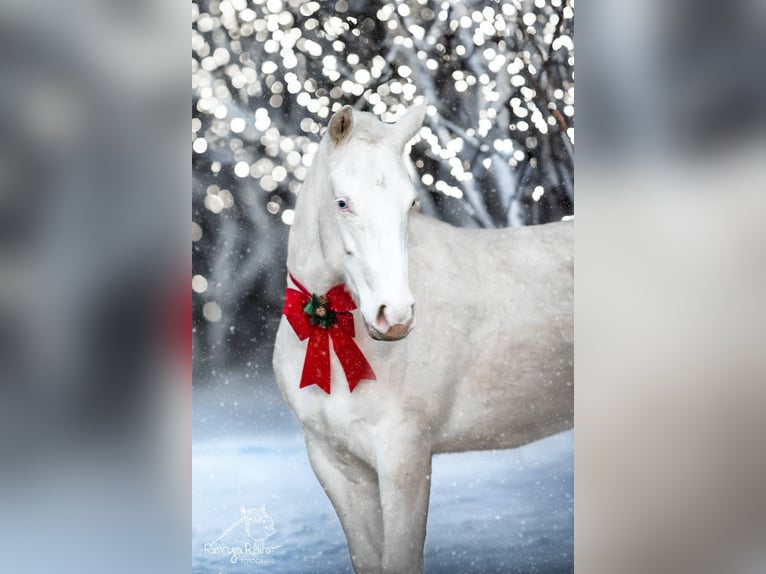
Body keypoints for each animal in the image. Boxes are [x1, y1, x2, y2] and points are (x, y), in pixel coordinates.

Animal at [272, 106, 572, 572]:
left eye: (410, 203)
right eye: (342, 202)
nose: (394, 316)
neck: (327, 327)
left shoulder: (404, 456)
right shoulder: (336, 462)